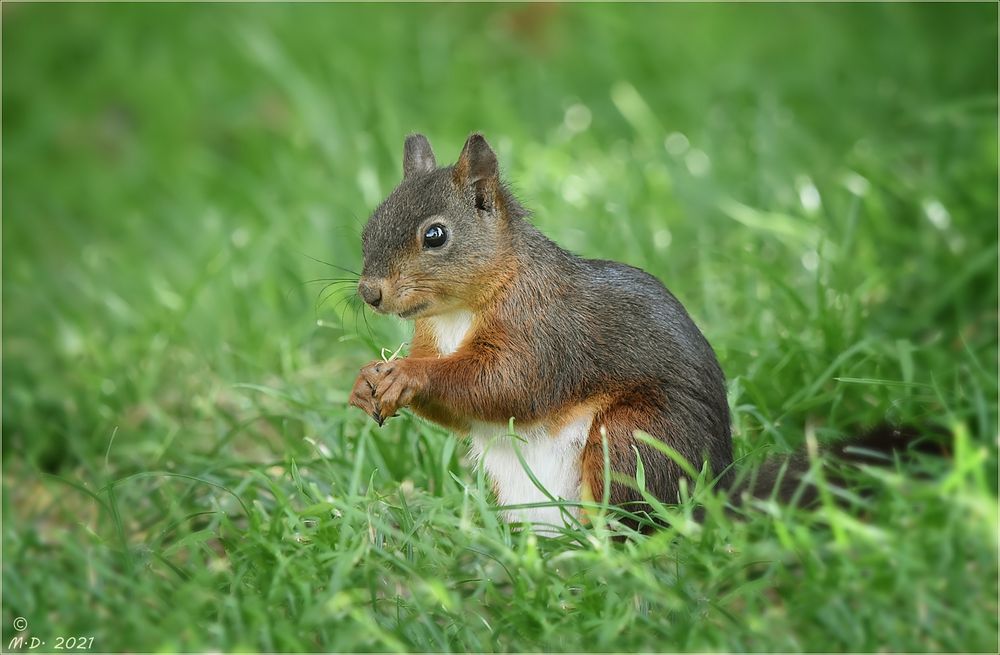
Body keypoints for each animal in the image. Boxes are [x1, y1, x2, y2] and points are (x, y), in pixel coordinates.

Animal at [348, 133, 732, 532]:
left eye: (435, 235)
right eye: (369, 228)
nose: (370, 293)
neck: (455, 313)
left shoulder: (542, 329)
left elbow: (507, 383)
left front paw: (406, 373)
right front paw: (365, 381)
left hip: (635, 438)